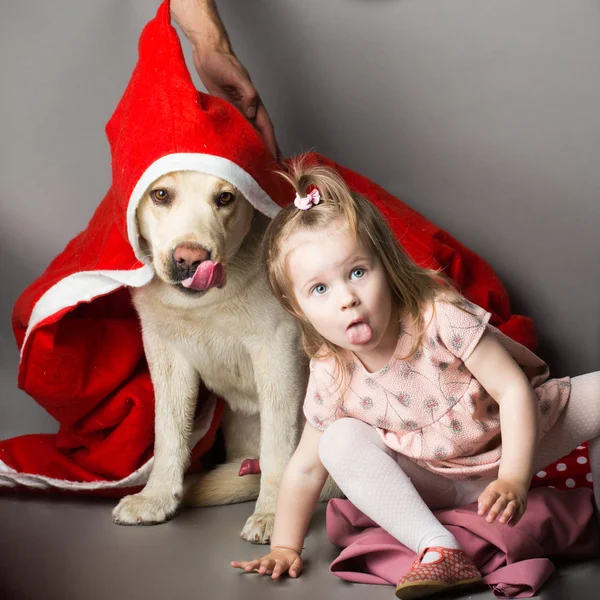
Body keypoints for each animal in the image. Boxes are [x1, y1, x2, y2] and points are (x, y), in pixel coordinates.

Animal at [111, 170, 338, 544]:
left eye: (226, 198)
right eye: (160, 195)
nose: (190, 259)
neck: (204, 305)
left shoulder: (278, 350)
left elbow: (278, 444)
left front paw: (273, 514)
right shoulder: (165, 352)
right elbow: (168, 431)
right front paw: (156, 498)